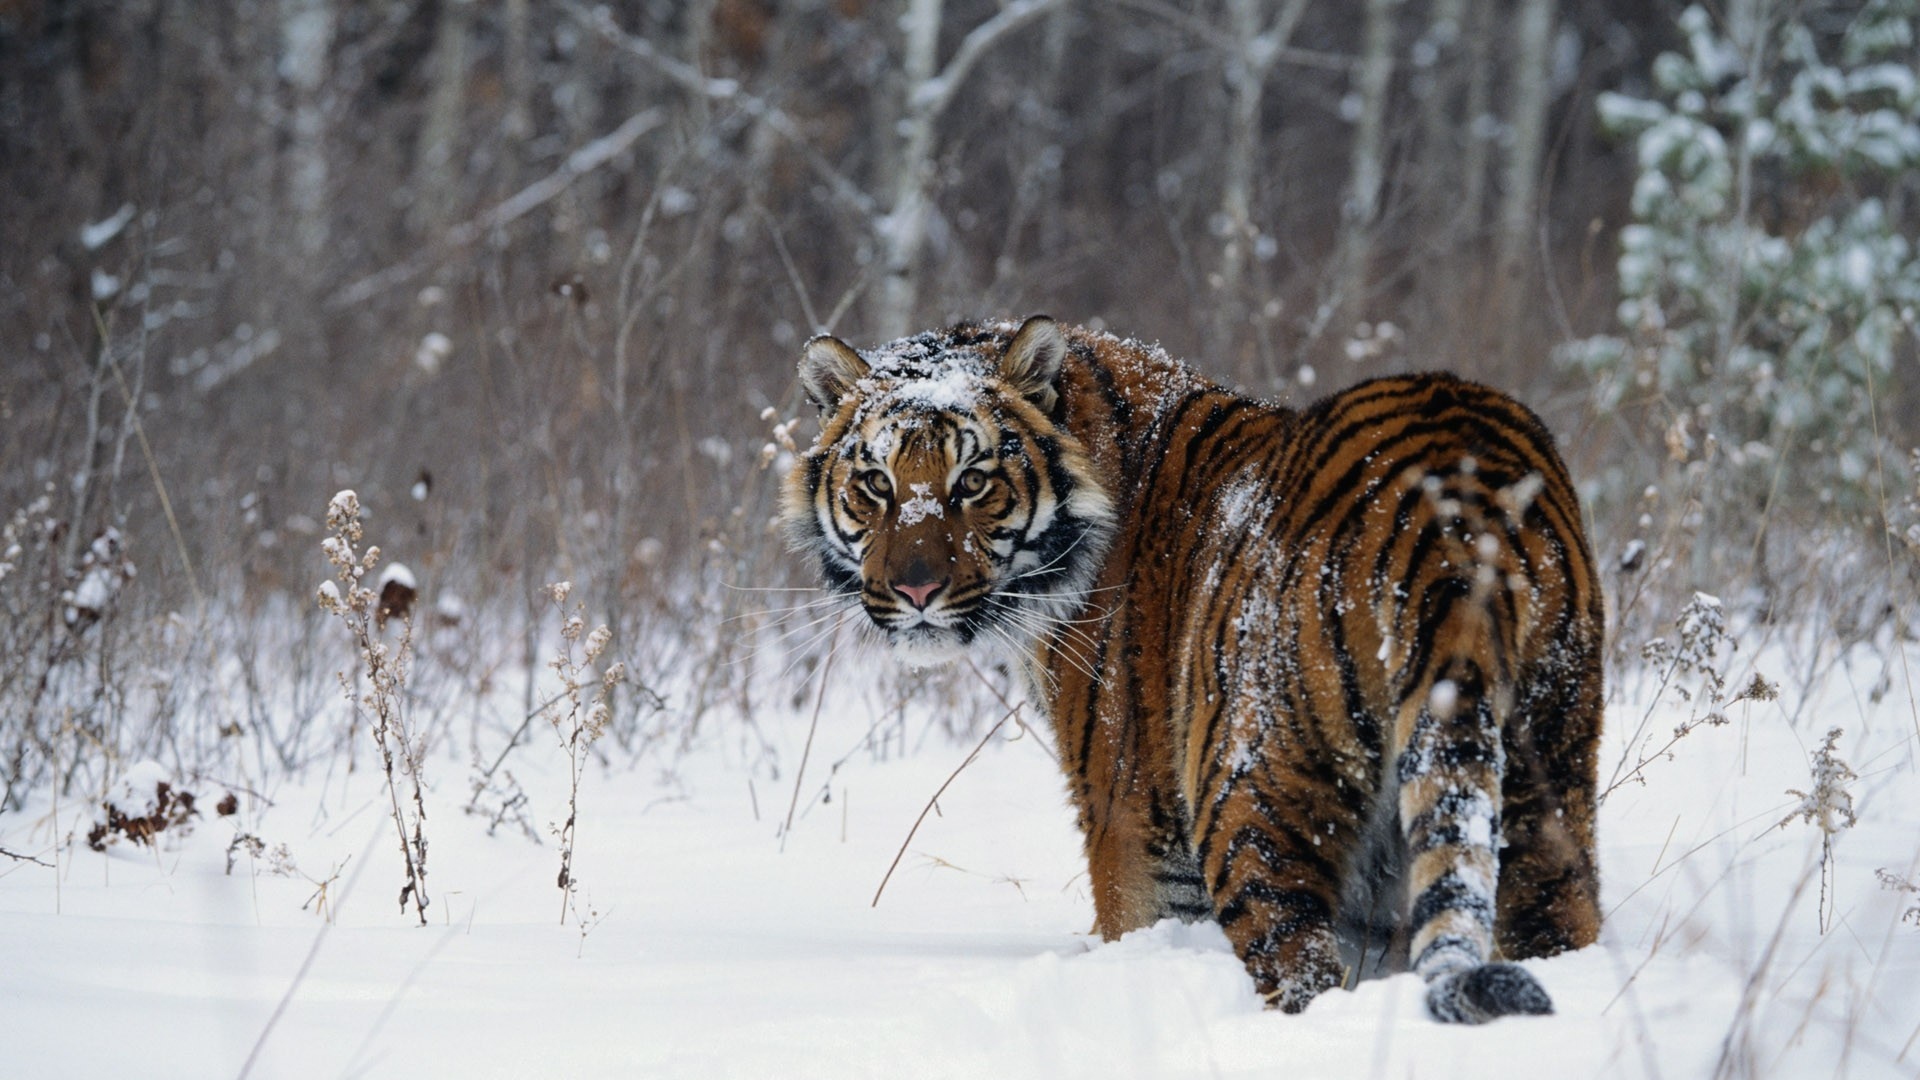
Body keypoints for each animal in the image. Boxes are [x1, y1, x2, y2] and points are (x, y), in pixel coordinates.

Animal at [783, 316, 1603, 1022]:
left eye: (974, 482)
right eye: (877, 484)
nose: (916, 591)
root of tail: (1454, 508)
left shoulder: (1131, 820)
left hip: (1250, 796)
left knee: (1300, 968)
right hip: (1547, 777)